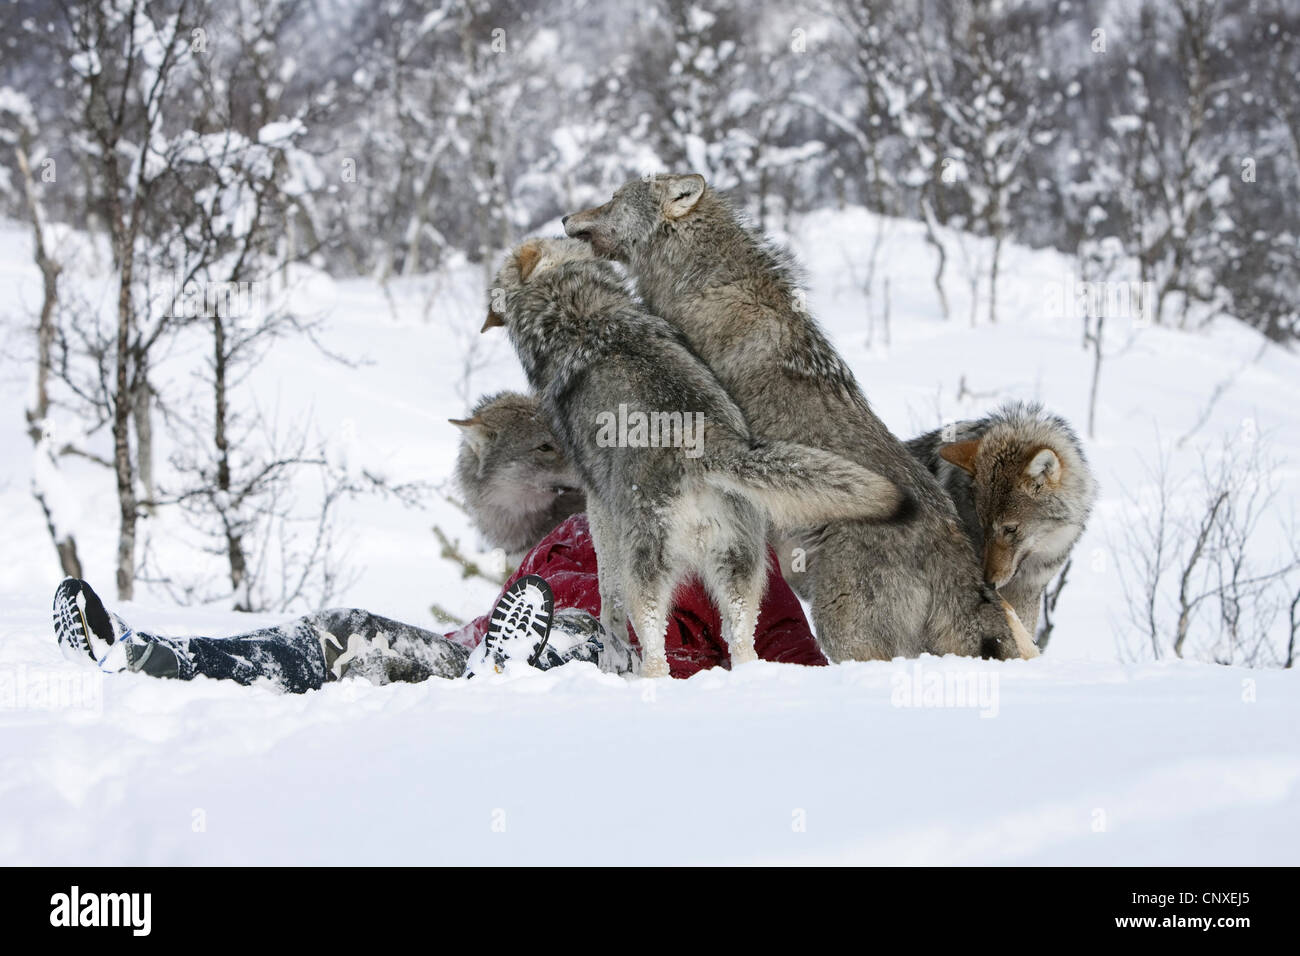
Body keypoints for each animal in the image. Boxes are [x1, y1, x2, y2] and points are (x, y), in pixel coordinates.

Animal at [486, 235, 904, 676]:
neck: (577, 310)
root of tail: (701, 452)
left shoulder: (599, 508)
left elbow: (607, 598)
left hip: (649, 579)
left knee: (656, 656)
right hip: (740, 579)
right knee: (743, 647)